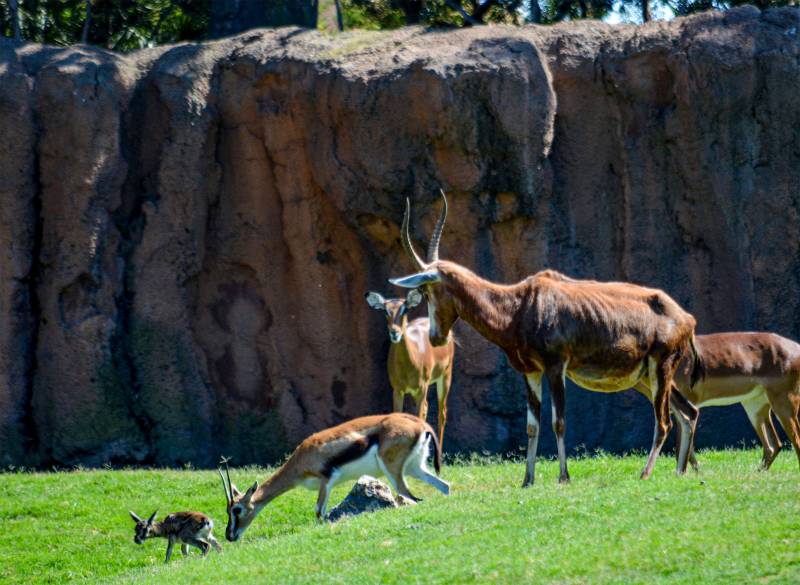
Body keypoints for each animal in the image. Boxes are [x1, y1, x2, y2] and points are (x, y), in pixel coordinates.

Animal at [219, 410, 450, 540]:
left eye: (237, 510)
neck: (300, 459)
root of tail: (420, 424)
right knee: (445, 486)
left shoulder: (326, 481)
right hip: (415, 468)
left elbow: (319, 512)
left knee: (412, 497)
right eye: (228, 510)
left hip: (394, 471)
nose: (229, 536)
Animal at [364, 288, 454, 448]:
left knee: (442, 413)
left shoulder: (422, 388)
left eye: (405, 309)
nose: (394, 332)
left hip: (445, 377)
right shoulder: (397, 390)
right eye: (385, 310)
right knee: (426, 409)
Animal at [640, 330, 800, 472]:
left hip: (784, 402)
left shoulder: (688, 404)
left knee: (795, 441)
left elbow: (682, 446)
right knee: (774, 445)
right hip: (755, 407)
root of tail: (796, 347)